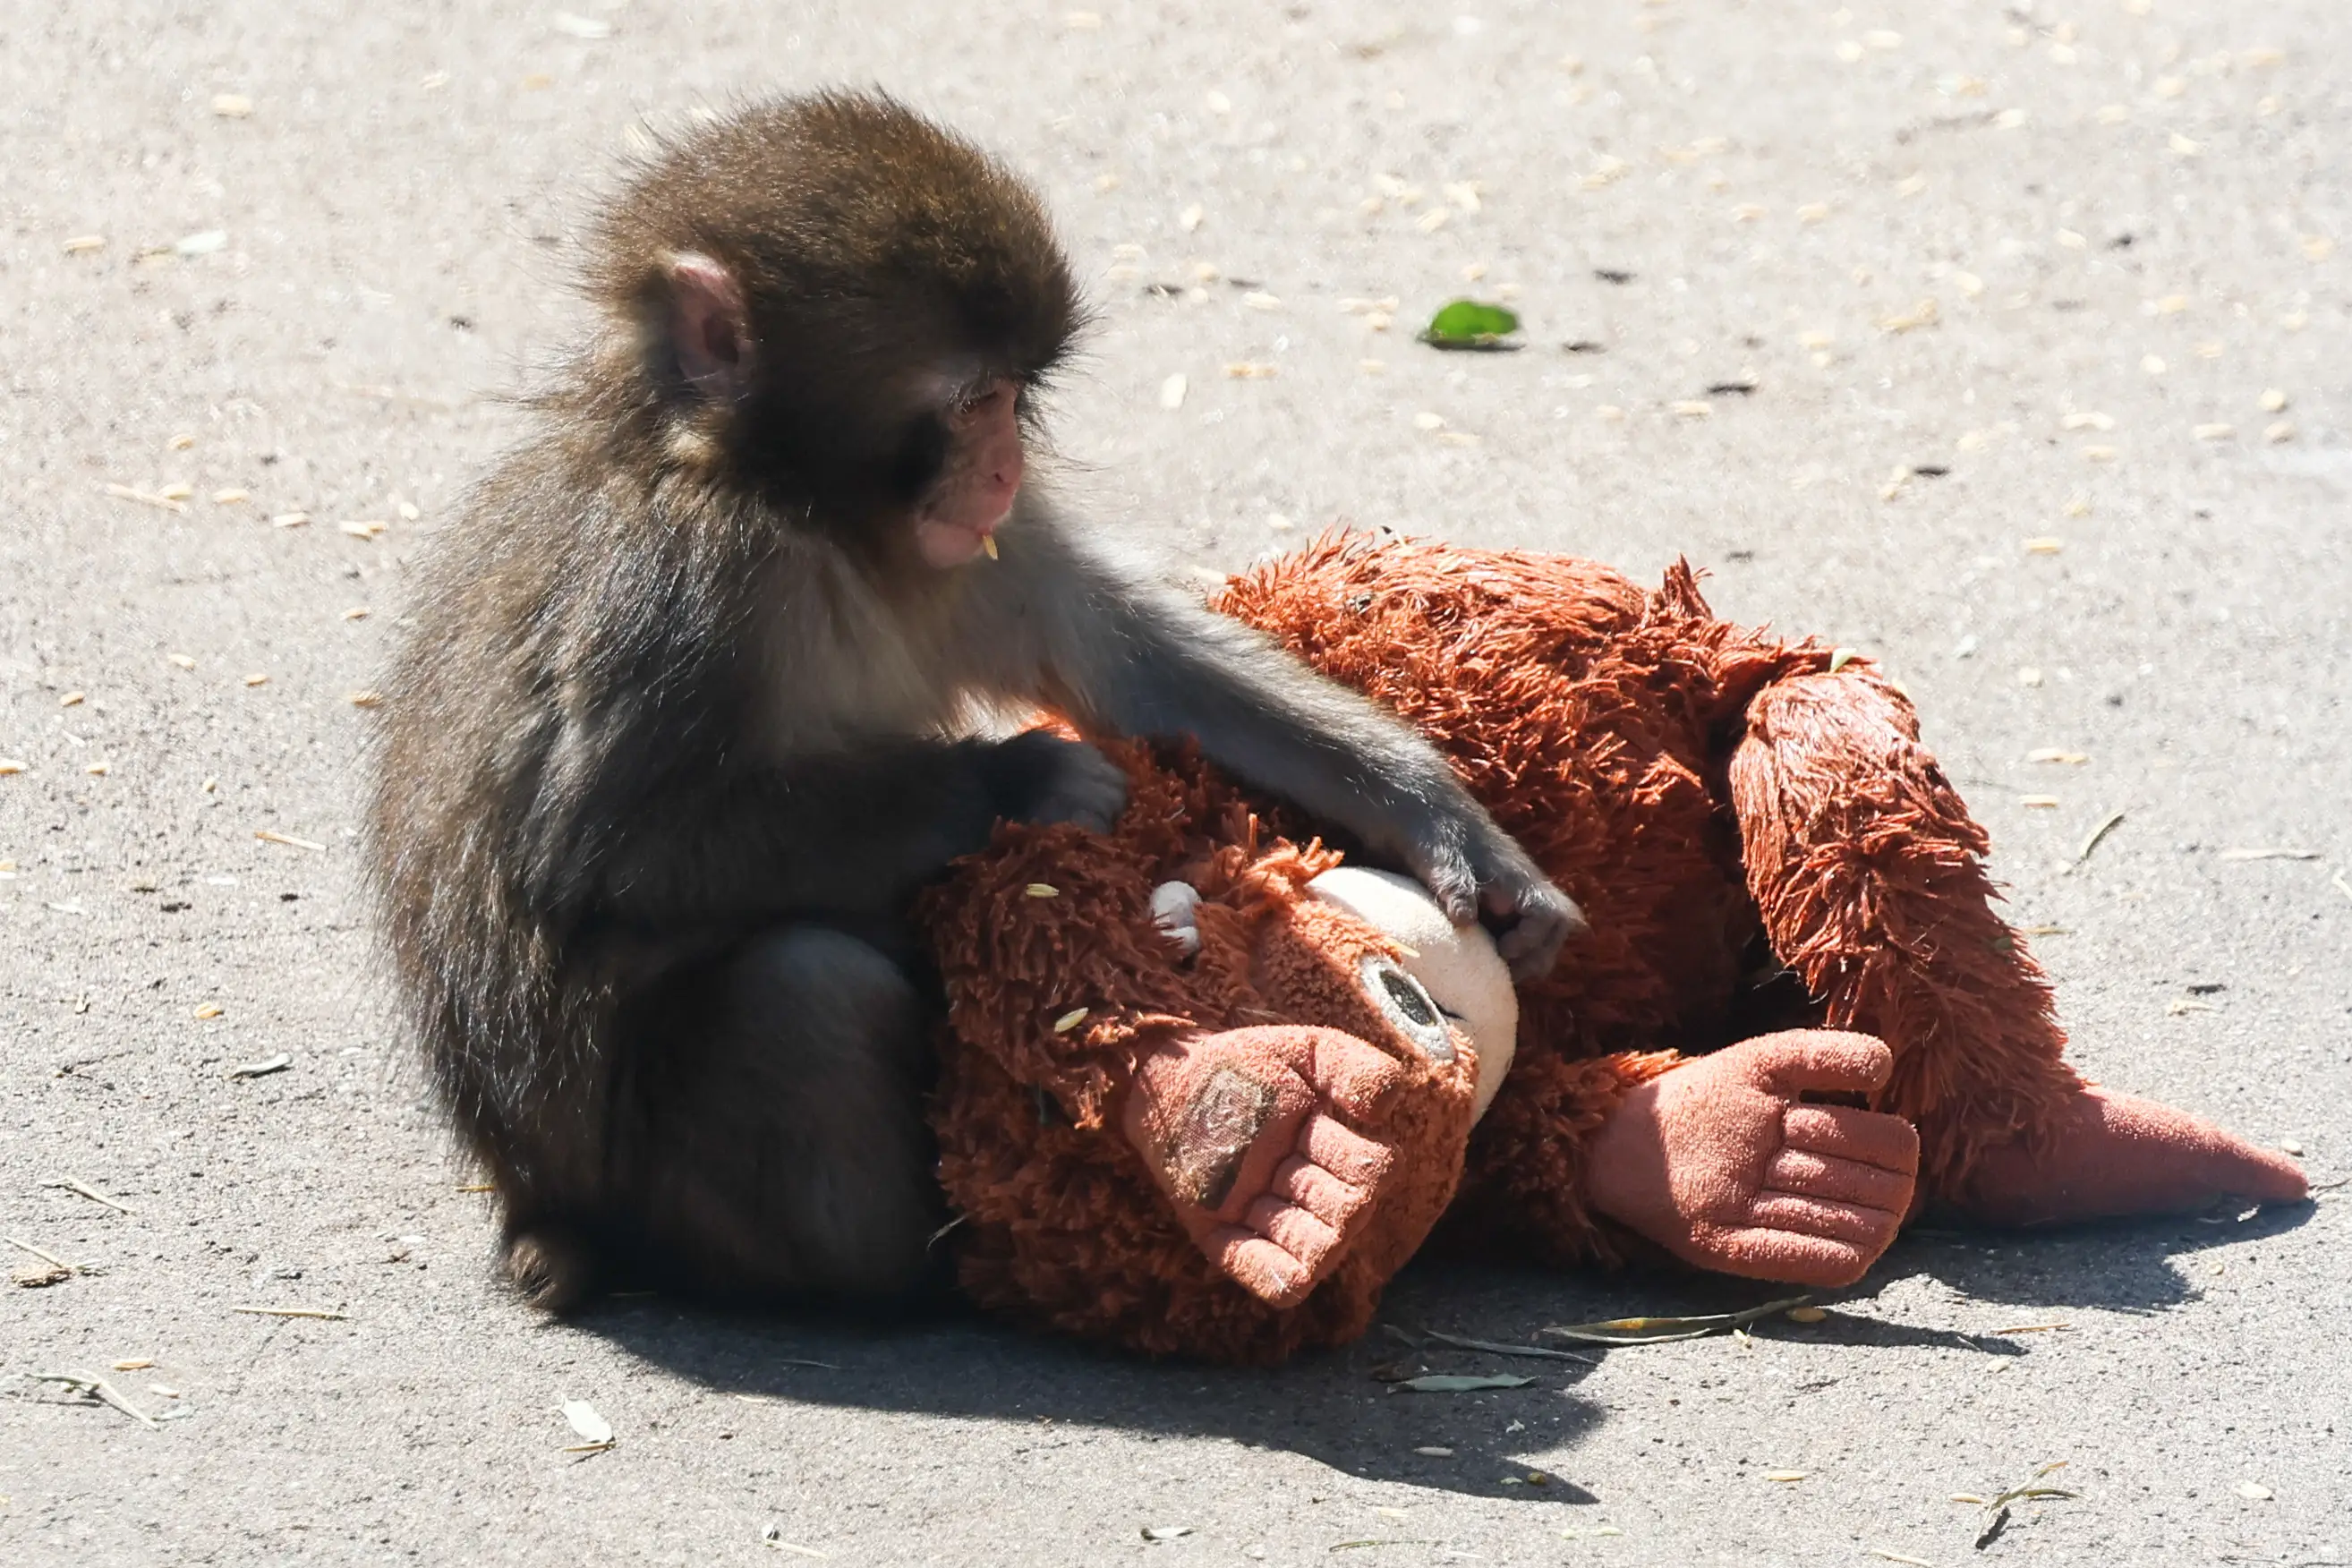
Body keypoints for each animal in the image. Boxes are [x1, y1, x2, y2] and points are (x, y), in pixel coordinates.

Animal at [367, 92, 1583, 1314]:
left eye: (1015, 398)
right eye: (973, 399)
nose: (1003, 465)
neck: (808, 514)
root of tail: (530, 1190)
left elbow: (1129, 664)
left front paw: (1450, 828)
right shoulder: (684, 585)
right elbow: (600, 849)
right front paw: (1027, 776)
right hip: (633, 1173)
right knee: (803, 990)